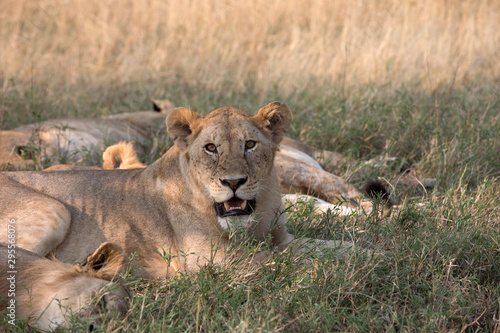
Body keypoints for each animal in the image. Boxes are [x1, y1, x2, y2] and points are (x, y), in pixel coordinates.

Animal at [0, 101, 364, 278]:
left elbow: (330, 246)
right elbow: (290, 261)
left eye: (249, 144)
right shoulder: (216, 262)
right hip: (53, 211)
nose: (233, 182)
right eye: (210, 148)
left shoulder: (283, 239)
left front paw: (369, 252)